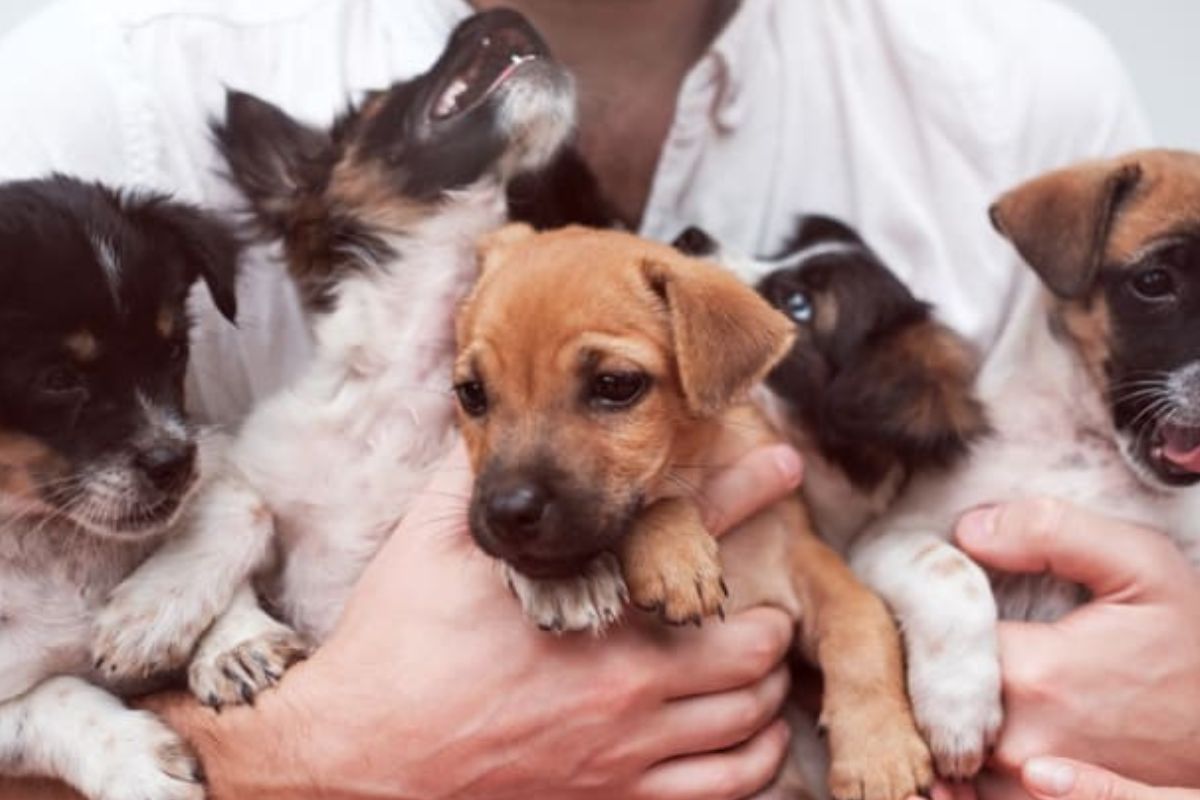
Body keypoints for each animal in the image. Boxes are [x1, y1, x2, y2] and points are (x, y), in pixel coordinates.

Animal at [453, 224, 931, 800]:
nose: (507, 513)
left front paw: (881, 752)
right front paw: (585, 576)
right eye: (471, 394)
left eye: (616, 384)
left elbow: (863, 622)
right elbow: (656, 502)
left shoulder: (801, 556)